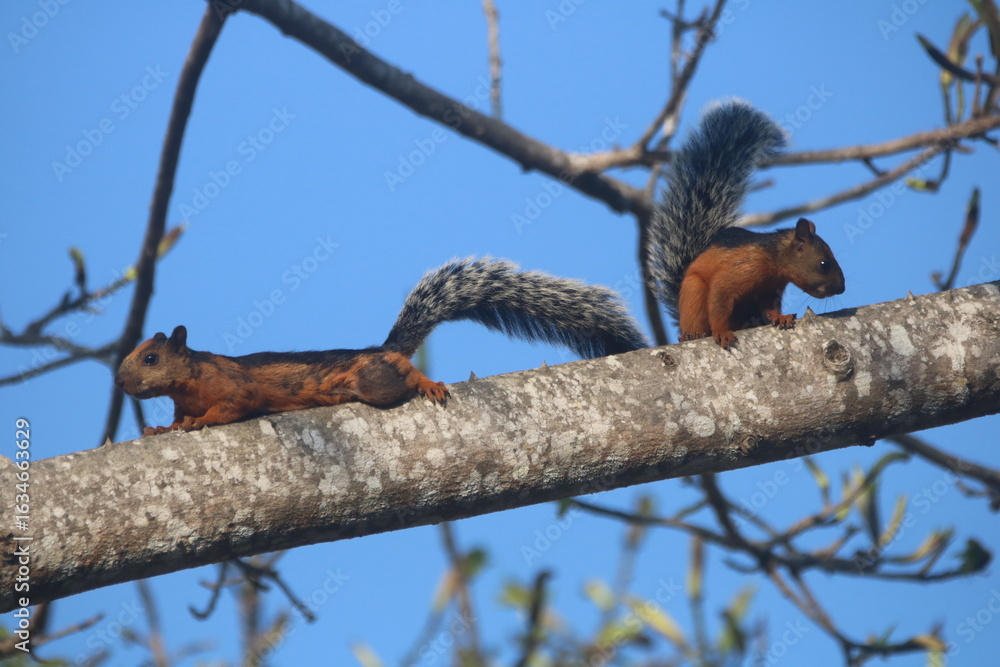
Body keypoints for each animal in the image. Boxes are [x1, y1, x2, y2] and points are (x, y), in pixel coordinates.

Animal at [116, 257, 648, 436]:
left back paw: (430, 383)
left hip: (374, 377)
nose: (120, 381)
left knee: (405, 376)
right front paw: (163, 429)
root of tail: (384, 347)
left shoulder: (232, 385)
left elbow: (232, 405)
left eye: (151, 357)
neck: (190, 380)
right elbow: (175, 419)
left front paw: (198, 423)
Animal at [645, 100, 845, 348]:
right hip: (693, 292)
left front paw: (780, 316)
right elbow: (720, 299)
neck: (773, 260)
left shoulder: (770, 290)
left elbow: (768, 308)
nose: (842, 288)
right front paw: (721, 331)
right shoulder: (740, 271)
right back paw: (691, 335)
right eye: (824, 264)